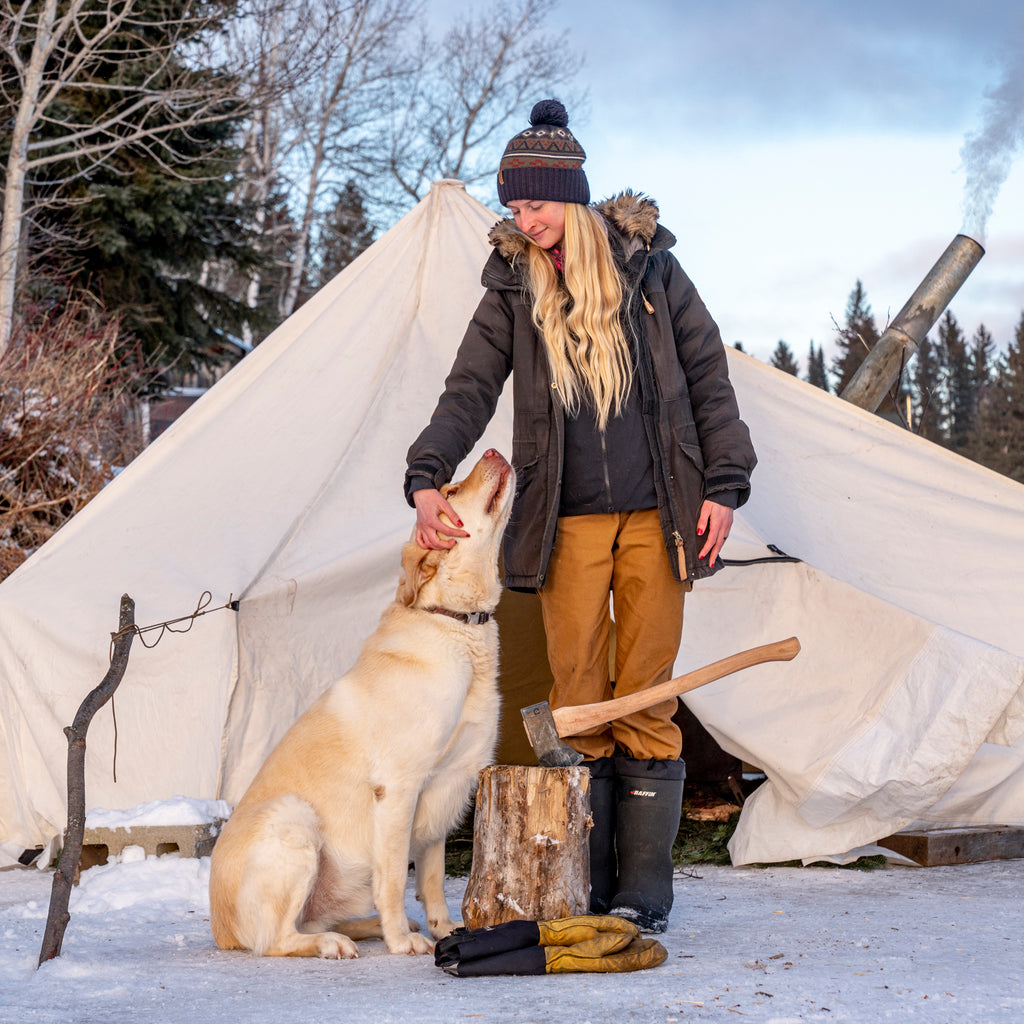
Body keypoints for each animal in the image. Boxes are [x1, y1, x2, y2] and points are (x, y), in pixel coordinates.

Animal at [209, 450, 512, 958]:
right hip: (294, 818)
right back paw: (338, 942)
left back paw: (369, 927)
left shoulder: (445, 787)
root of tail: (218, 928)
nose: (492, 452)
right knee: (278, 939)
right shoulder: (399, 788)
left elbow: (431, 880)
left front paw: (443, 930)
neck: (457, 627)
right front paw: (401, 942)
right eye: (449, 492)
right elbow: (392, 879)